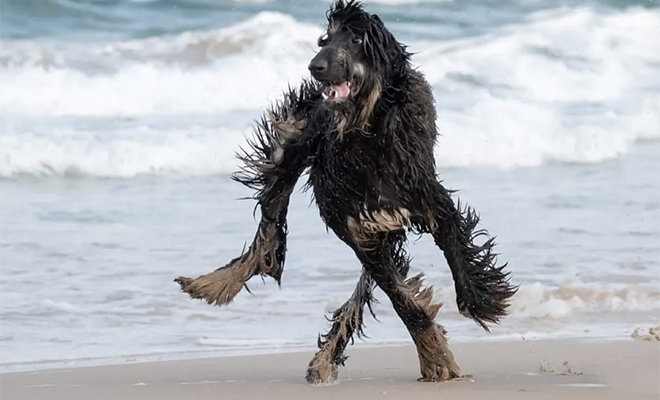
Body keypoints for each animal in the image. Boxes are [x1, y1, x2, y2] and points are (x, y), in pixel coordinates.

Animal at [174, 0, 516, 384]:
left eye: (356, 40)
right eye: (325, 39)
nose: (316, 66)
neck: (366, 135)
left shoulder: (426, 199)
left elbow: (454, 248)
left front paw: (478, 301)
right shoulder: (357, 229)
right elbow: (402, 299)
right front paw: (435, 357)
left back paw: (324, 356)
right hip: (292, 146)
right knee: (268, 231)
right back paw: (215, 285)